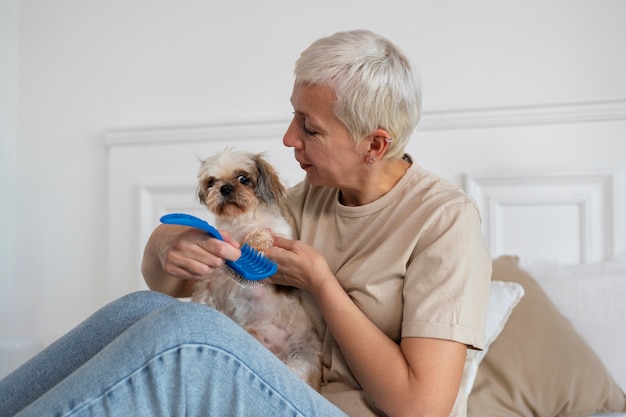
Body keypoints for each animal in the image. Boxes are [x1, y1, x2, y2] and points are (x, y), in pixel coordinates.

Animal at [191, 148, 320, 388]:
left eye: (243, 178)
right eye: (211, 182)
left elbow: (262, 233)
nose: (225, 187)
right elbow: (203, 297)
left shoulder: (278, 236)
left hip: (300, 362)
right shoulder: (211, 281)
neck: (240, 221)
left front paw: (255, 240)